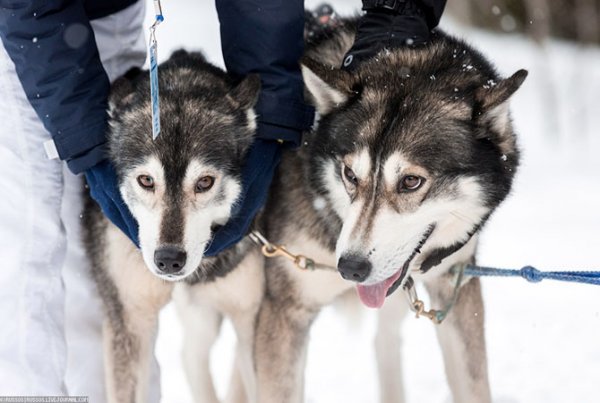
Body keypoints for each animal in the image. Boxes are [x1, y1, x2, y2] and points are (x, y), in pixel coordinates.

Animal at [252, 17, 524, 402]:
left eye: (411, 181)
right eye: (350, 175)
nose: (351, 269)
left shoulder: (454, 288)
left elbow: (473, 386)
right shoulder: (284, 311)